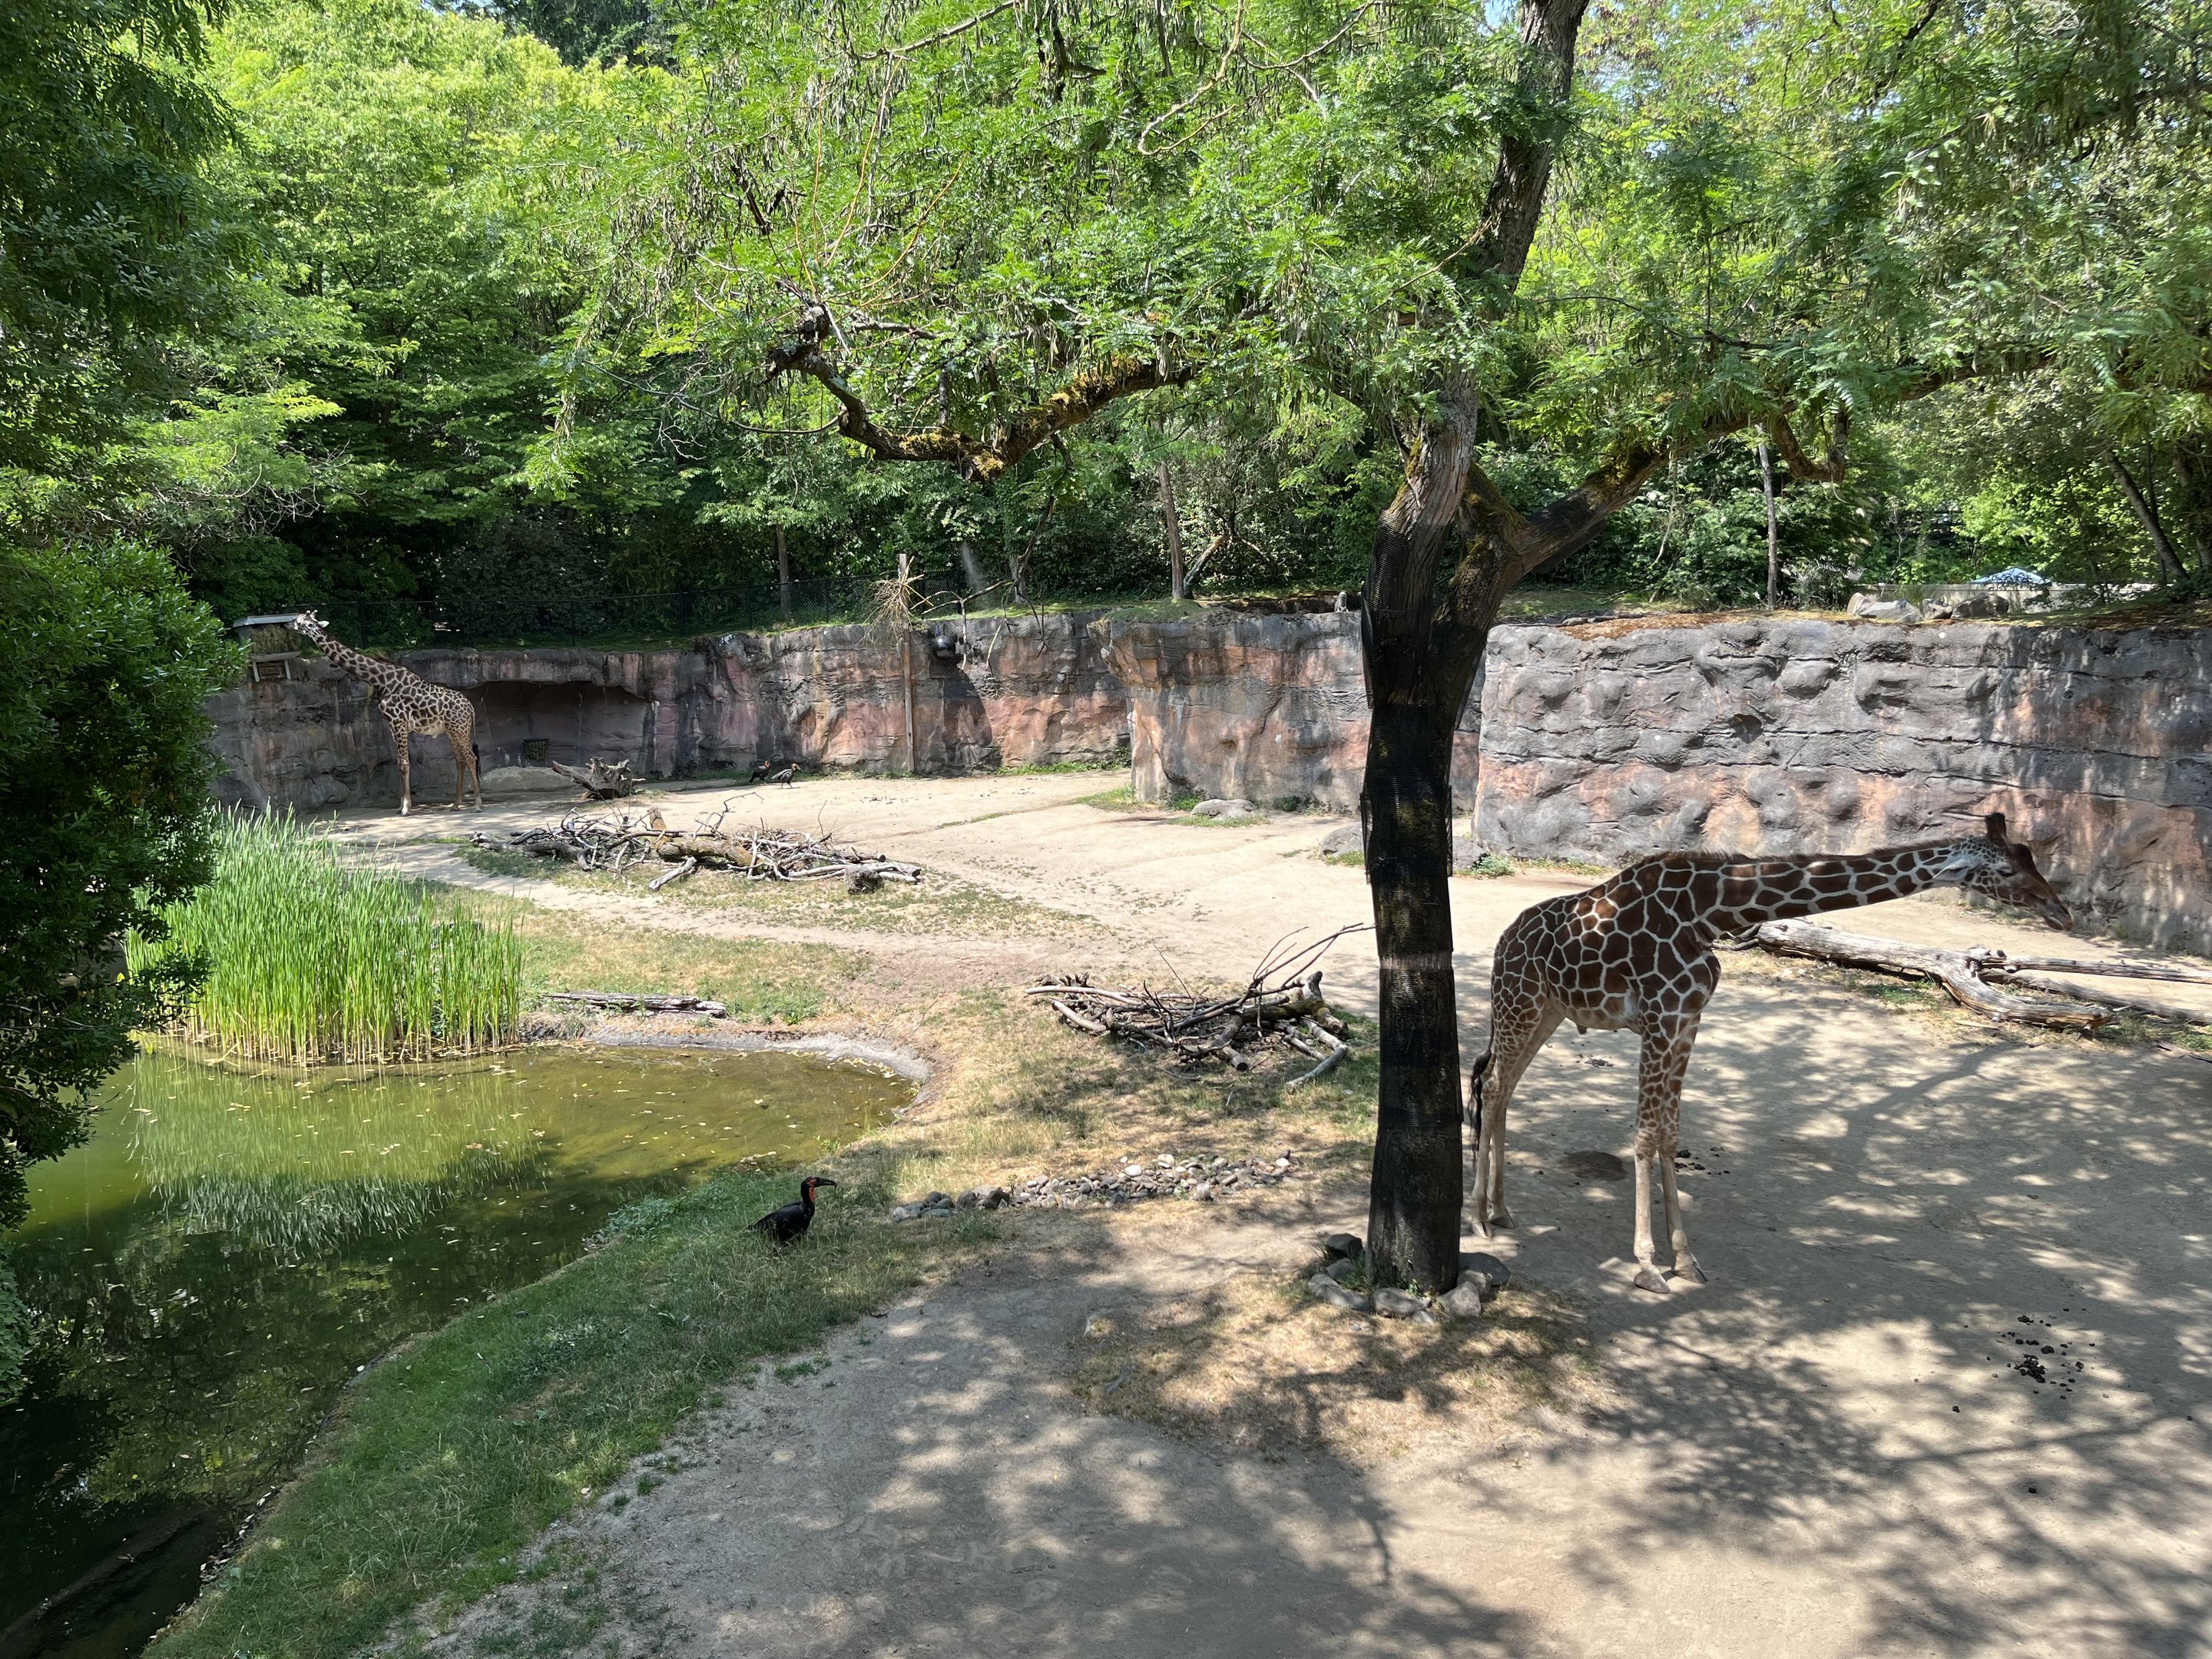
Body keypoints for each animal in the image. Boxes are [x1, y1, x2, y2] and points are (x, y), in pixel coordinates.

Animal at [289, 611, 481, 815]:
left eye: (300, 622)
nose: (287, 624)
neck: (381, 679)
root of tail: (470, 707)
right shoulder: (392, 725)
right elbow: (398, 764)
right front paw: (400, 806)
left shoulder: (399, 722)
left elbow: (404, 763)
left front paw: (406, 808)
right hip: (452, 731)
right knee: (460, 760)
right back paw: (456, 804)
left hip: (459, 729)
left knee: (471, 757)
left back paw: (477, 804)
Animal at [1467, 814, 2071, 1294]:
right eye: (2009, 871)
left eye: (2031, 859)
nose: (2061, 914)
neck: (1711, 914)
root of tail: (1504, 941)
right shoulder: (1662, 1018)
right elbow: (1643, 1135)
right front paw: (1647, 1265)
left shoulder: (1687, 1021)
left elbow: (1669, 1134)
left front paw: (1686, 1259)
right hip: (1519, 1001)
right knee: (1493, 1085)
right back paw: (1477, 1218)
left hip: (1547, 1010)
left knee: (1504, 1089)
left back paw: (1501, 1208)